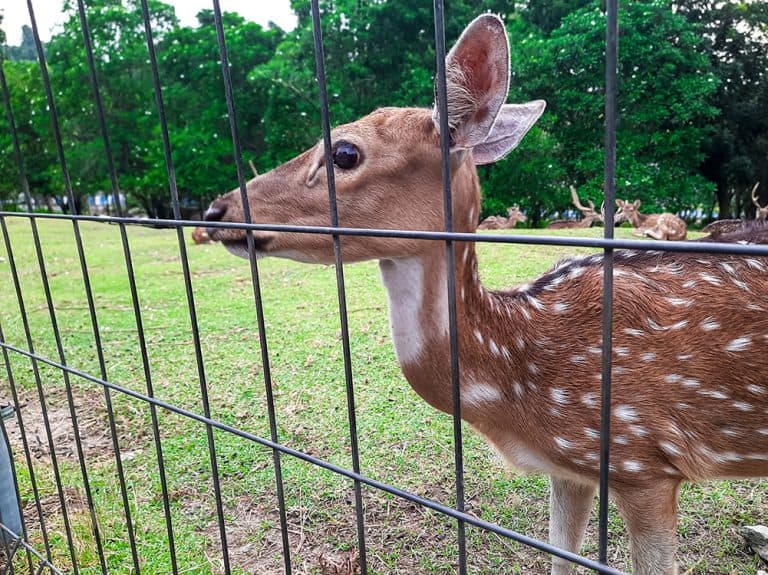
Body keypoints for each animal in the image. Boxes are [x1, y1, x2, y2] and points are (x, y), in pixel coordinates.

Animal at [203, 14, 768, 575]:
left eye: (344, 152)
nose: (214, 210)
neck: (516, 376)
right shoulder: (571, 467)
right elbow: (560, 556)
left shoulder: (641, 459)